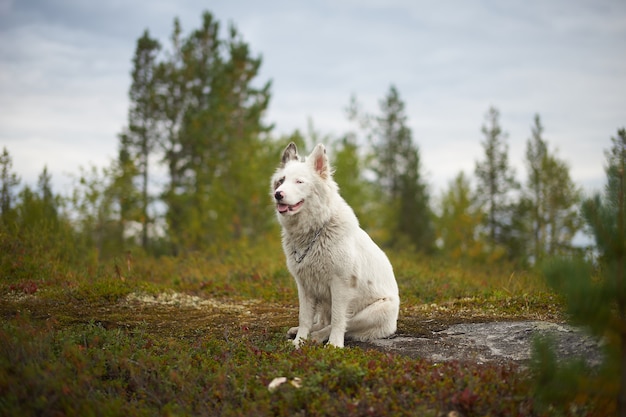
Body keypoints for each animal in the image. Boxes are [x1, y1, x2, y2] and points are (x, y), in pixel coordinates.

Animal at [270, 141, 398, 346]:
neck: (315, 230)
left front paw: (334, 345)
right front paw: (299, 342)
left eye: (299, 182)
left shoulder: (340, 285)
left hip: (375, 311)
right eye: (281, 181)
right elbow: (304, 317)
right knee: (322, 321)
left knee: (341, 324)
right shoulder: (304, 285)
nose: (278, 194)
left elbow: (338, 320)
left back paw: (317, 337)